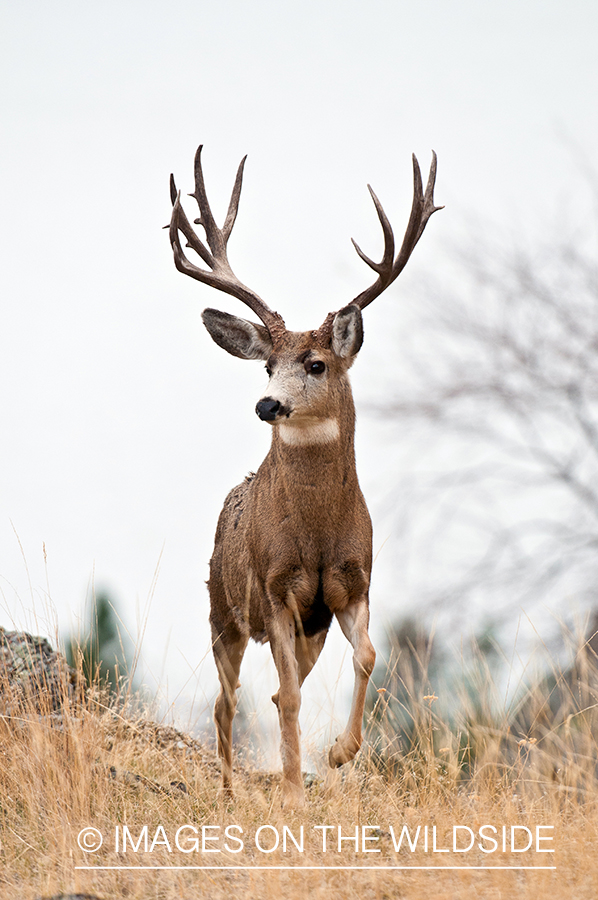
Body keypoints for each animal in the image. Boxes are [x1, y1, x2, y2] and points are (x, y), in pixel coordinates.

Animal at [168, 145, 442, 807]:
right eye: (267, 364)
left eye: (315, 363)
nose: (268, 404)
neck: (317, 533)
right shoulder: (275, 590)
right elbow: (288, 694)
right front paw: (293, 792)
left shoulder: (352, 583)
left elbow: (368, 656)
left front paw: (340, 753)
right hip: (224, 610)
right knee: (227, 702)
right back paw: (229, 789)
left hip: (304, 629)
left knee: (263, 693)